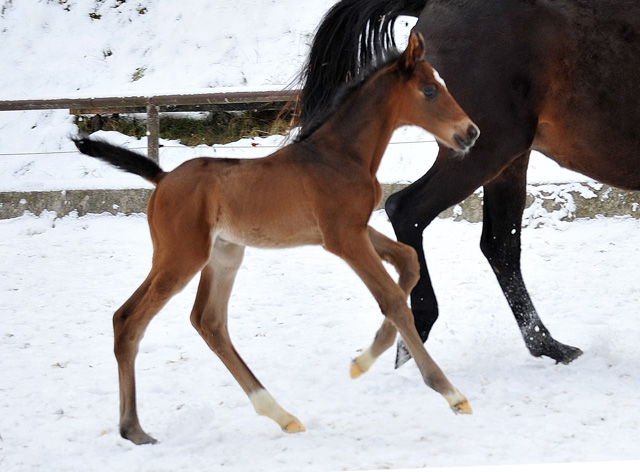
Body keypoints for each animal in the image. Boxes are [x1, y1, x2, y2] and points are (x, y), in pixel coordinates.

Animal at [72, 34, 478, 446]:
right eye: (429, 90)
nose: (471, 132)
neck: (341, 156)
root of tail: (163, 178)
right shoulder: (344, 238)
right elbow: (393, 299)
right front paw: (450, 393)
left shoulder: (353, 229)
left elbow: (408, 261)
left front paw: (361, 363)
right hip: (181, 258)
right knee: (130, 321)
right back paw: (134, 430)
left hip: (223, 255)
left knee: (206, 321)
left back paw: (280, 416)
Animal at [298, 0, 640, 366]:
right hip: (485, 150)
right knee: (406, 209)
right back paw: (418, 328)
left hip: (507, 160)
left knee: (500, 244)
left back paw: (548, 346)